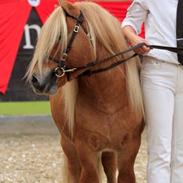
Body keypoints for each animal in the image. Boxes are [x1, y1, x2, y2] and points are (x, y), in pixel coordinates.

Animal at [25, 1, 144, 183]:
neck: (108, 100)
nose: (36, 80)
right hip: (68, 146)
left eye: (59, 36)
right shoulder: (85, 150)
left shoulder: (129, 150)